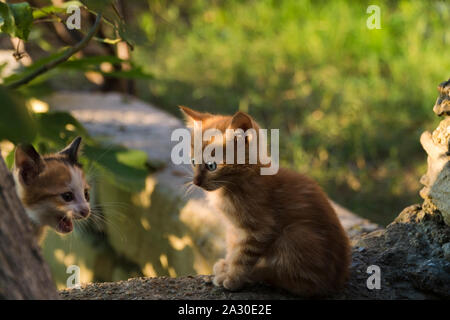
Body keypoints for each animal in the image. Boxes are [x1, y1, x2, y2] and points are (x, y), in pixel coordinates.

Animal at [179, 106, 352, 296]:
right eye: (193, 162)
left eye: (212, 166)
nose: (196, 182)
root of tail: (338, 281)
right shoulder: (234, 229)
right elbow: (233, 248)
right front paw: (228, 265)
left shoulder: (260, 230)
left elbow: (242, 257)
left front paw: (232, 278)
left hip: (295, 235)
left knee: (297, 280)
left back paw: (257, 273)